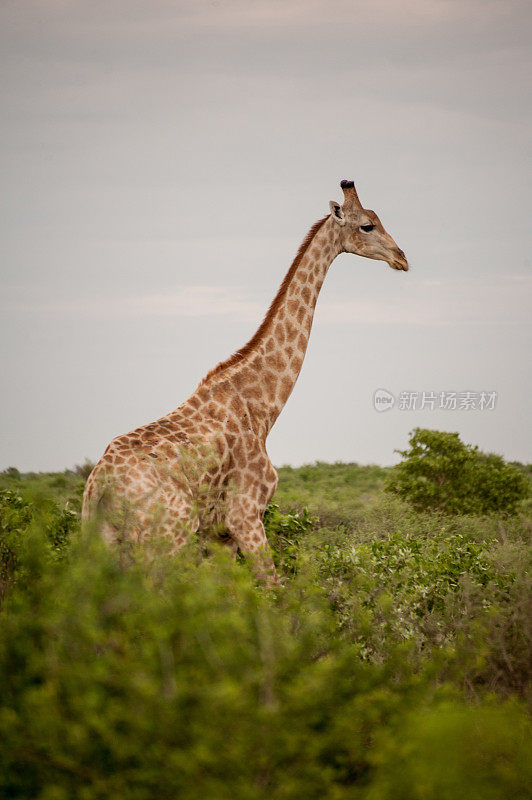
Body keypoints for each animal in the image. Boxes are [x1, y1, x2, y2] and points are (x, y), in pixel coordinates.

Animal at [82, 180, 408, 580]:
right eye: (367, 225)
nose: (402, 258)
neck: (262, 407)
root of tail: (99, 487)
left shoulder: (219, 536)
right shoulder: (246, 516)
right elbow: (273, 588)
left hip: (105, 542)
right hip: (165, 540)